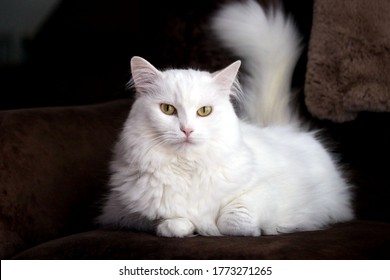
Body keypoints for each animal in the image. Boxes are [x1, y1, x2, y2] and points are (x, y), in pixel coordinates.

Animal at [97, 0, 354, 236]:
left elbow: (232, 219)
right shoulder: (121, 212)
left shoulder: (266, 192)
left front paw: (255, 231)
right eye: (167, 109)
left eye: (204, 111)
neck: (187, 169)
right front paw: (183, 227)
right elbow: (171, 222)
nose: (187, 130)